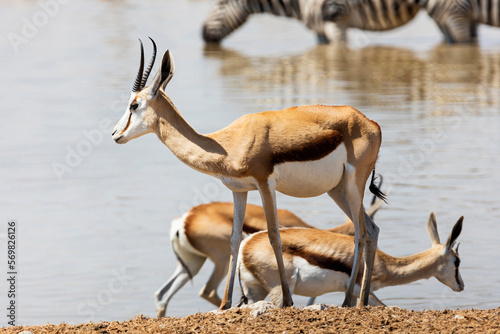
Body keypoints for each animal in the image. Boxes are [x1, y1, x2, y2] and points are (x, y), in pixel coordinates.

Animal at [238, 214, 464, 308]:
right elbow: (382, 305)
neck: (384, 264)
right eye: (457, 261)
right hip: (280, 290)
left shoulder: (354, 293)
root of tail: (247, 243)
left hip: (255, 290)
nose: (461, 285)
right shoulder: (361, 289)